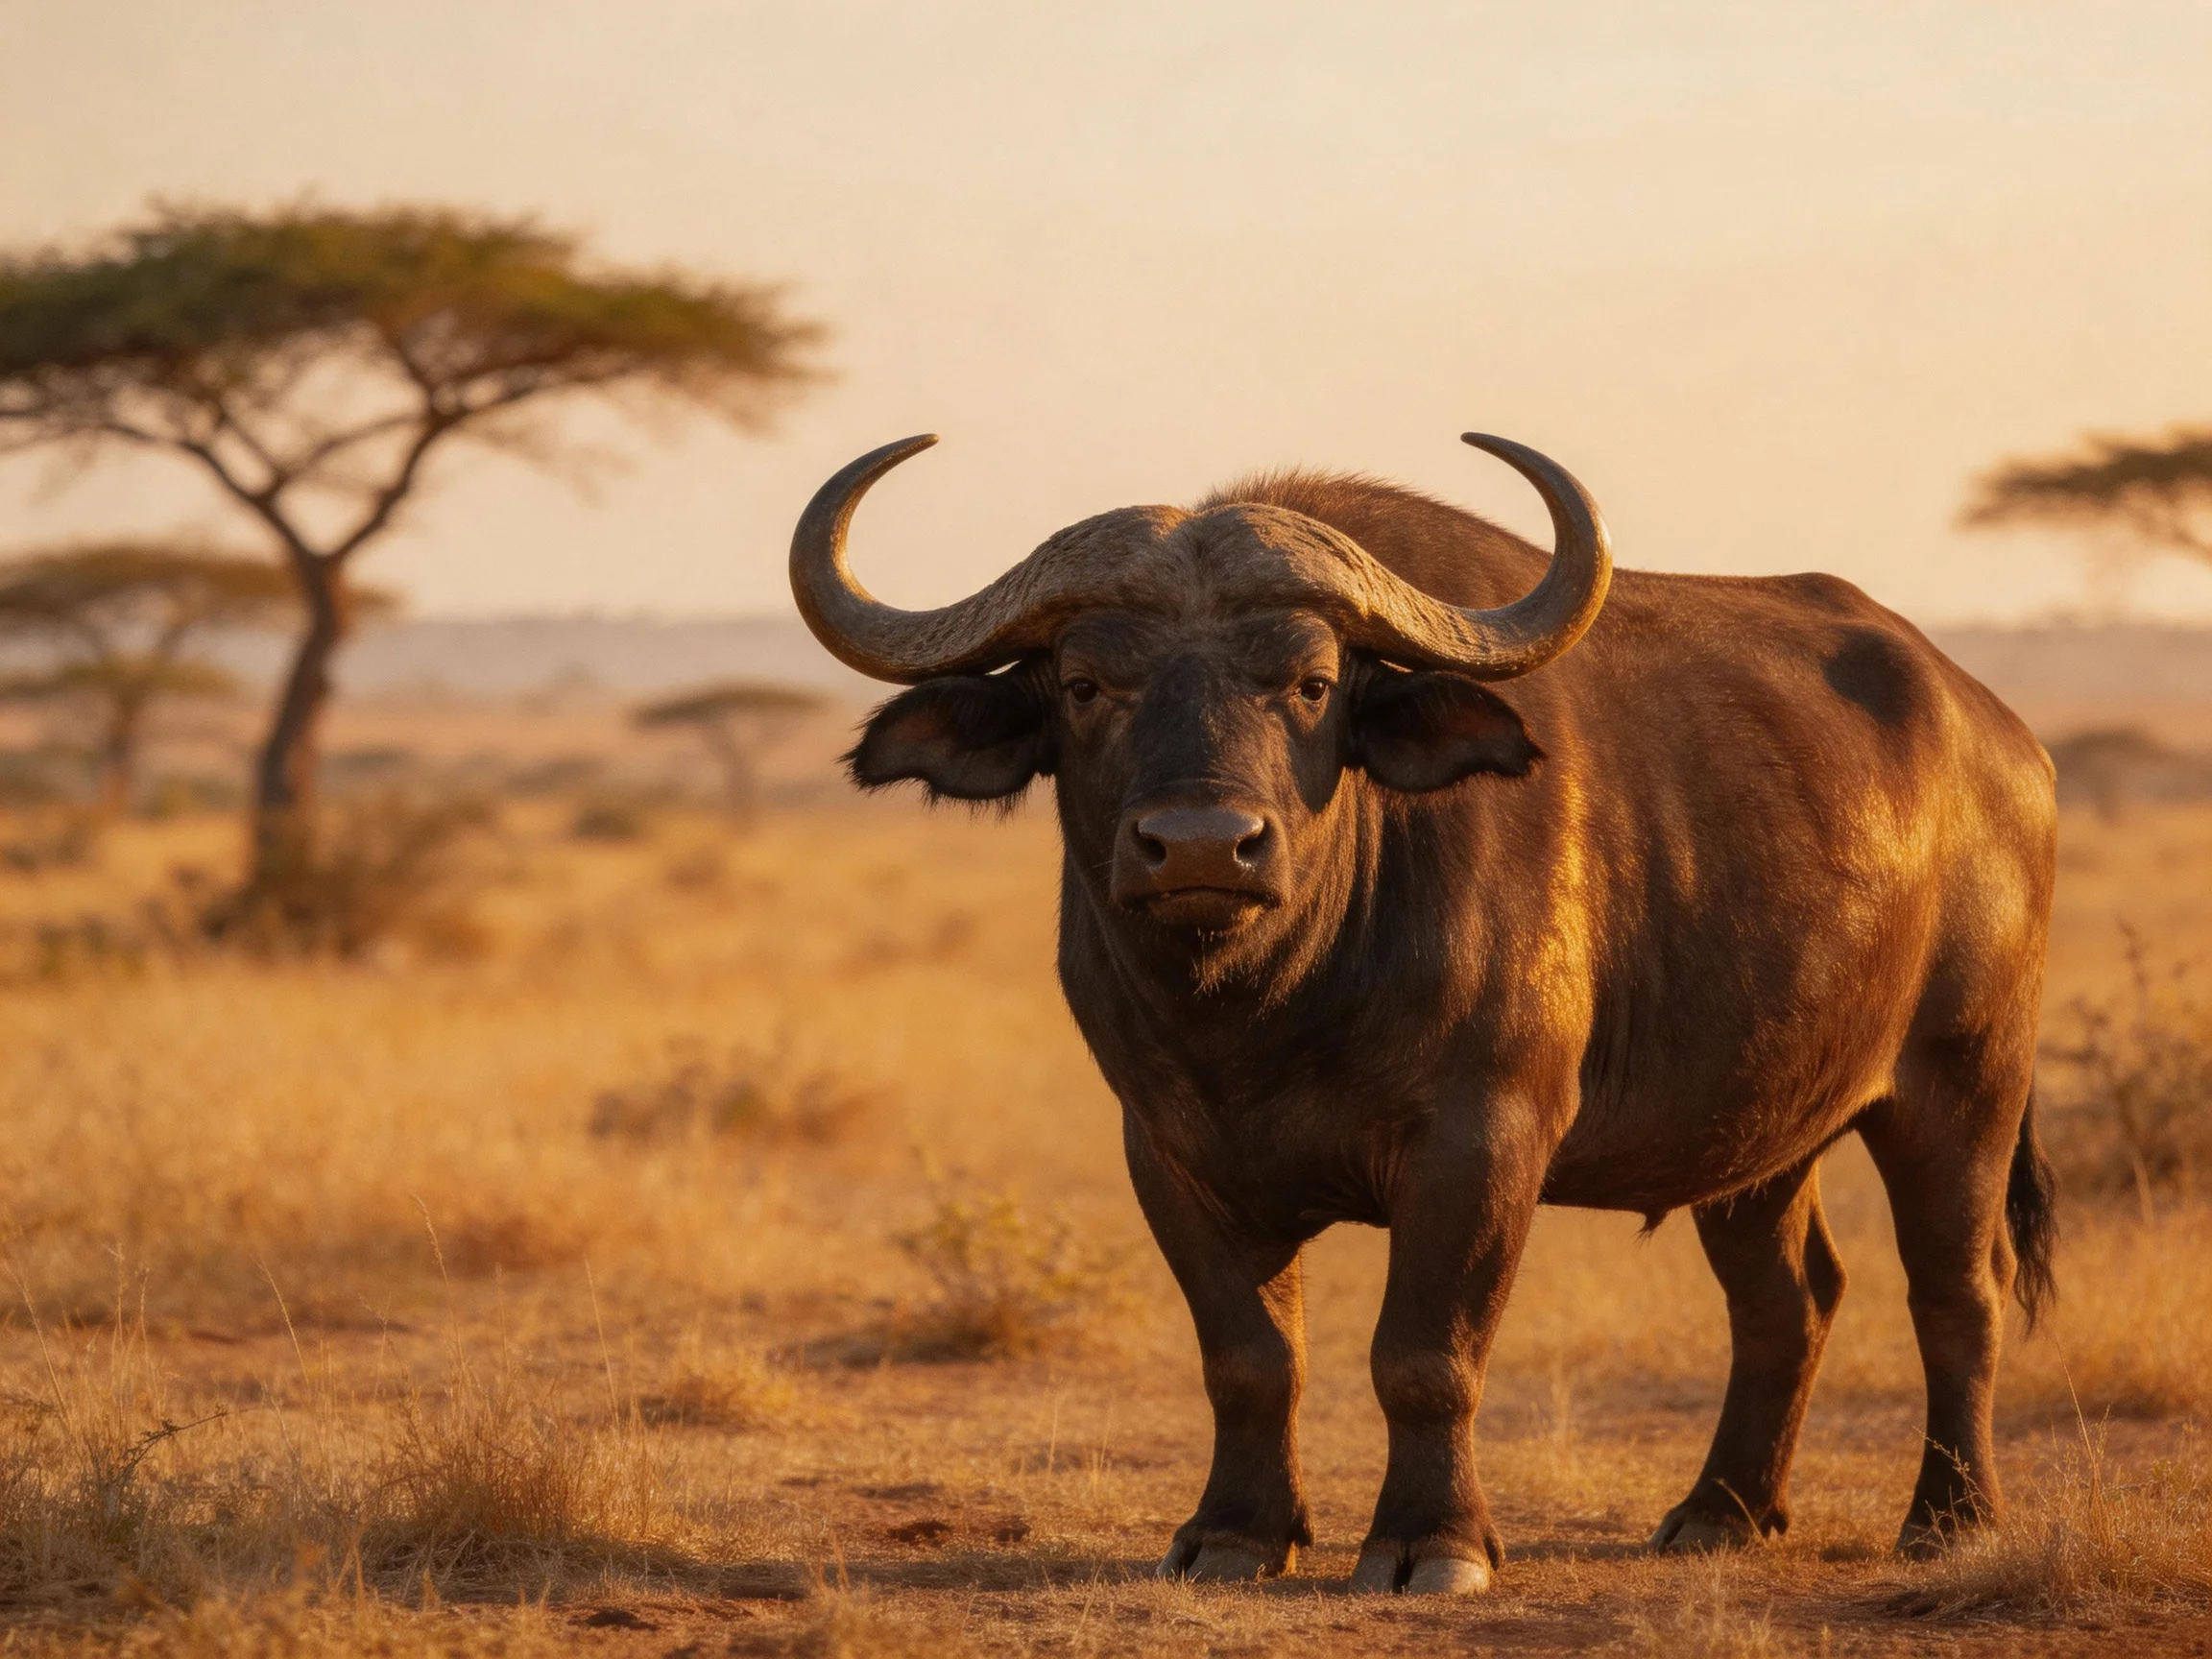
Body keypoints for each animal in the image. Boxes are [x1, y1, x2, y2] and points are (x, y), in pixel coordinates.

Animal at [788, 431, 2058, 1594]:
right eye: (1085, 685)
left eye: (1310, 684)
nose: (1200, 846)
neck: (1269, 1005)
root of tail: (2003, 740)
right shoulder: (1169, 1153)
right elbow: (1249, 1359)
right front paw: (1234, 1535)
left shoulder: (1483, 1141)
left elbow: (1425, 1356)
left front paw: (1428, 1544)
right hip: (1758, 1136)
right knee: (1787, 1301)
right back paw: (1722, 1513)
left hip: (1963, 1085)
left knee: (1957, 1291)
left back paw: (1952, 1521)